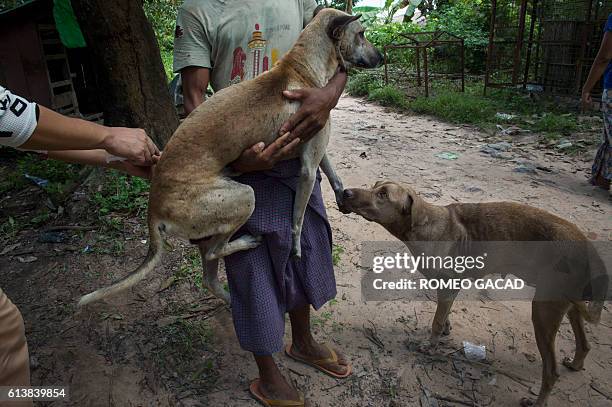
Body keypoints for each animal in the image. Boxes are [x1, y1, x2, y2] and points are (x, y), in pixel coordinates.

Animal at [76, 8, 382, 306]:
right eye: (362, 34)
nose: (383, 57)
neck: (302, 68)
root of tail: (153, 207)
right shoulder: (307, 167)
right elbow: (298, 217)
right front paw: (296, 247)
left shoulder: (316, 141)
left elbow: (333, 173)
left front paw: (342, 195)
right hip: (244, 197)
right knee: (215, 251)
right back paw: (246, 243)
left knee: (209, 275)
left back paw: (229, 299)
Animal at [342, 182, 608, 407]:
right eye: (375, 186)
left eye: (383, 194)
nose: (345, 192)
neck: (426, 225)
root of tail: (586, 244)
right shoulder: (449, 289)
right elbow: (444, 316)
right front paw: (445, 330)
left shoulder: (447, 287)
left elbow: (436, 321)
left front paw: (431, 345)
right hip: (568, 305)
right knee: (584, 344)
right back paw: (575, 364)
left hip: (544, 312)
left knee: (551, 372)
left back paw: (538, 403)